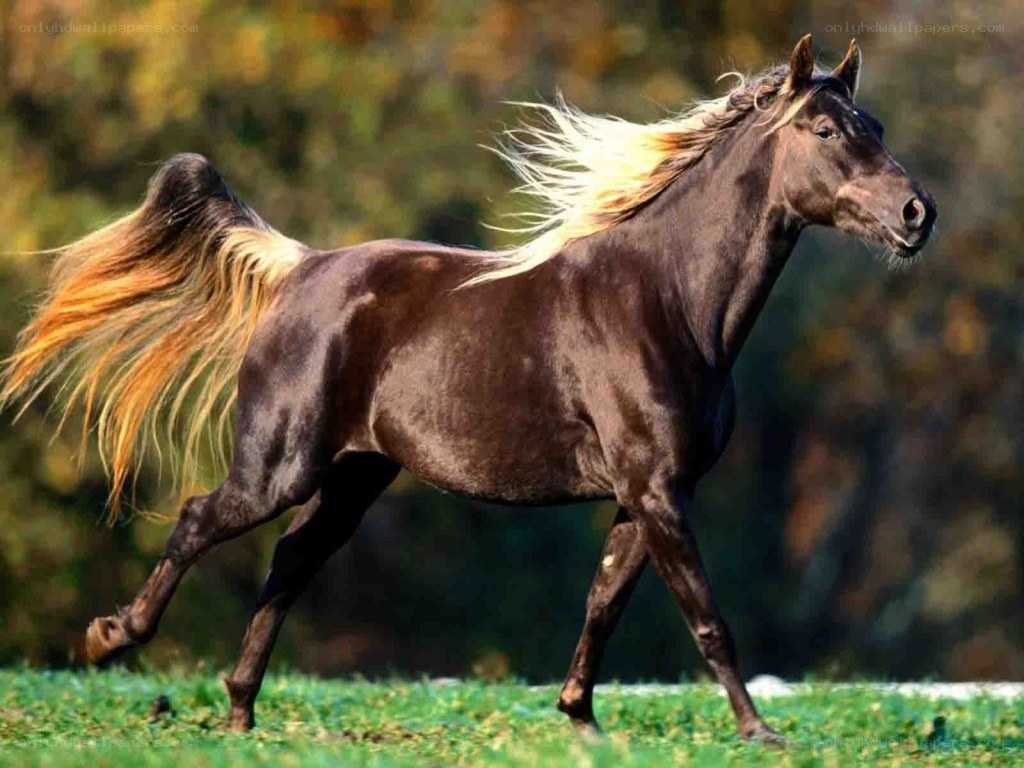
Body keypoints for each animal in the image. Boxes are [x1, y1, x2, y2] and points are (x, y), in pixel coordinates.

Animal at [1, 35, 935, 743]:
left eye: (876, 123)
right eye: (824, 127)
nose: (917, 214)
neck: (668, 300)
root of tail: (301, 268)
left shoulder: (646, 495)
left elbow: (604, 601)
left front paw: (581, 720)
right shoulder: (658, 491)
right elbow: (707, 616)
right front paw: (761, 733)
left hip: (354, 475)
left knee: (291, 561)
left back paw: (238, 714)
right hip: (281, 466)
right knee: (201, 520)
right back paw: (113, 640)